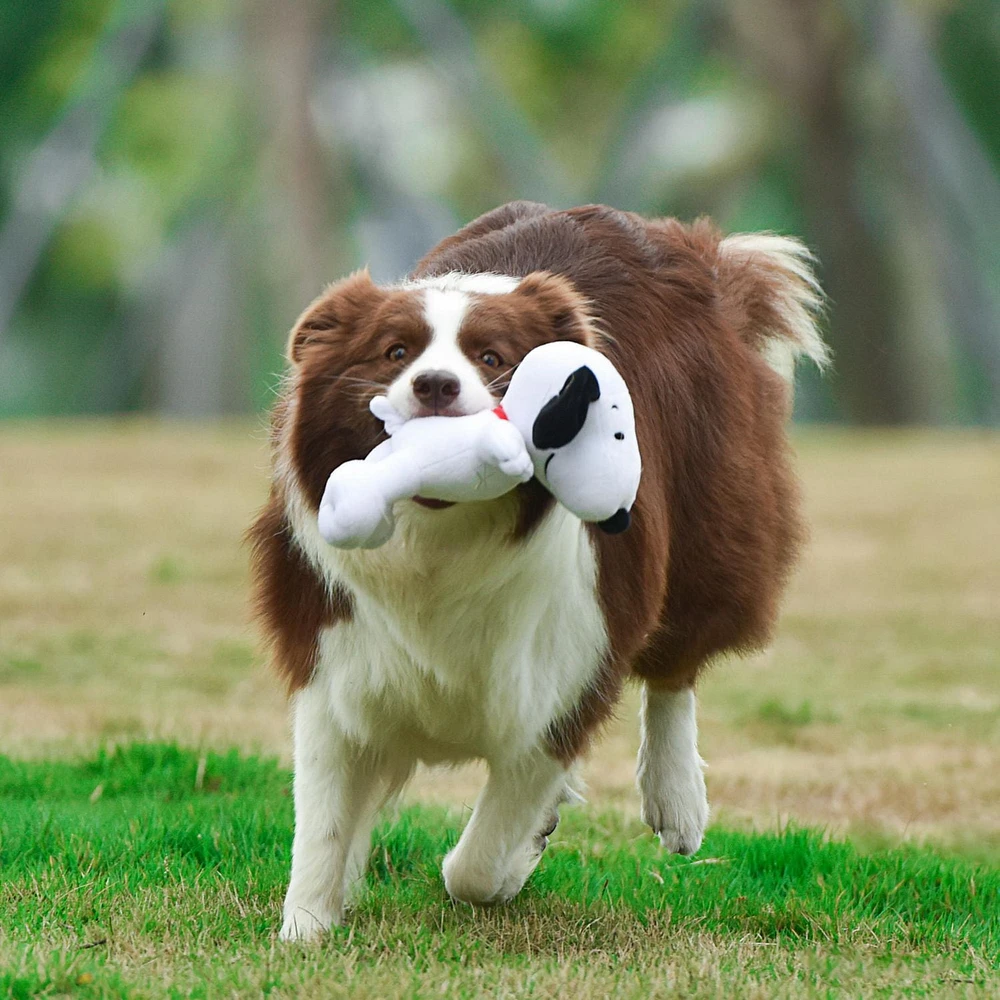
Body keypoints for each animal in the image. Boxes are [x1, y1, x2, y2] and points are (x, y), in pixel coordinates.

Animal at [252, 201, 828, 936]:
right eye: (395, 351)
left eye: (491, 358)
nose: (435, 386)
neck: (440, 543)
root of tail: (681, 240)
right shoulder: (337, 662)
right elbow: (322, 820)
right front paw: (306, 927)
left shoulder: (564, 675)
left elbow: (478, 858)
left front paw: (512, 862)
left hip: (717, 532)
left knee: (677, 662)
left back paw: (676, 798)